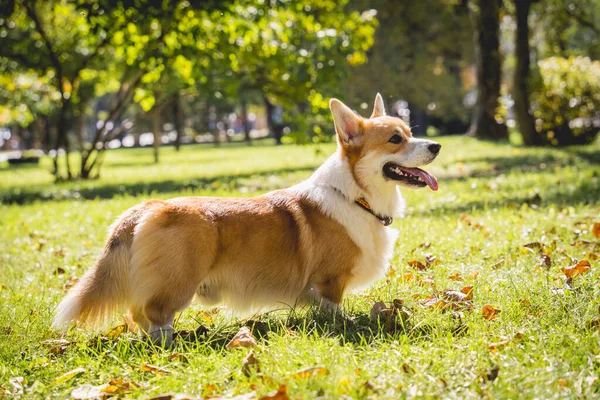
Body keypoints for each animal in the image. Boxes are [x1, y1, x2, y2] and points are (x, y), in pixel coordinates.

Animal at [54, 93, 440, 344]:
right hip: (177, 282)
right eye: (395, 139)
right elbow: (333, 307)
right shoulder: (329, 280)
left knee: (137, 314)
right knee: (154, 315)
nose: (436, 146)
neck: (357, 197)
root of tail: (146, 208)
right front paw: (345, 324)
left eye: (409, 132)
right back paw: (169, 344)